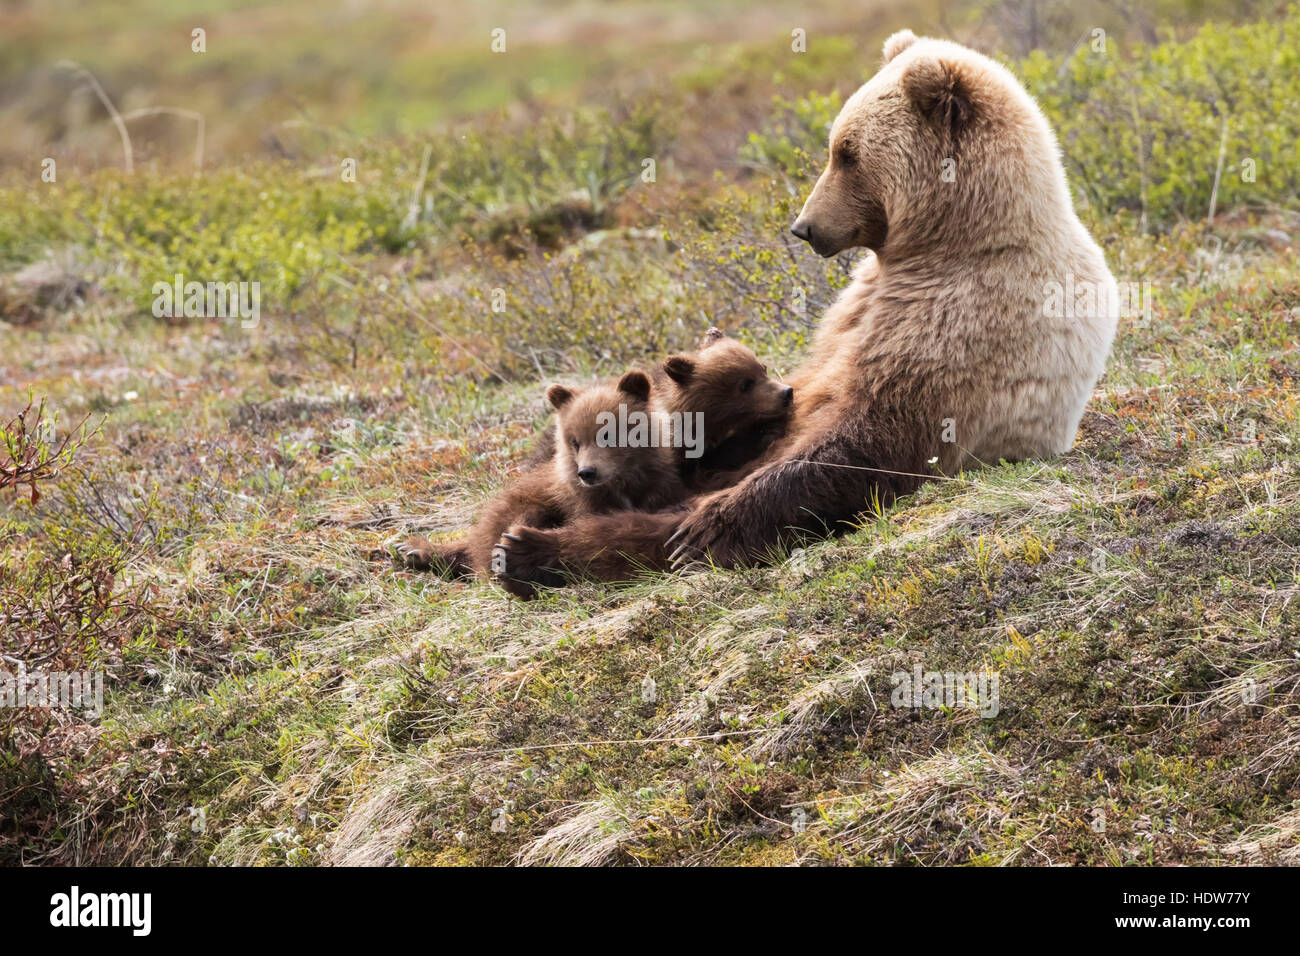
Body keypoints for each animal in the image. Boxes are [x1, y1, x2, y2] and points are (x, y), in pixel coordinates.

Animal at [490, 30, 1119, 595]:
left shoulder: (959, 326)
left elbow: (868, 436)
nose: (804, 227)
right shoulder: (852, 313)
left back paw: (532, 550)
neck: (947, 242)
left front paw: (707, 529)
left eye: (848, 154)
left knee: (646, 530)